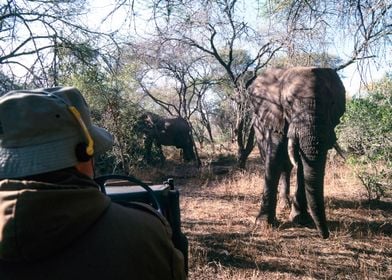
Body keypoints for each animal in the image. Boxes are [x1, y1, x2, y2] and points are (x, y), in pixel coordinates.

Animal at [250, 66, 344, 238]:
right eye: (288, 103)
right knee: (272, 160)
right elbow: (274, 156)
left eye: (332, 103)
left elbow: (302, 164)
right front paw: (264, 224)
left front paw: (301, 220)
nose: (326, 235)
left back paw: (285, 204)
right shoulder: (275, 115)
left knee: (287, 167)